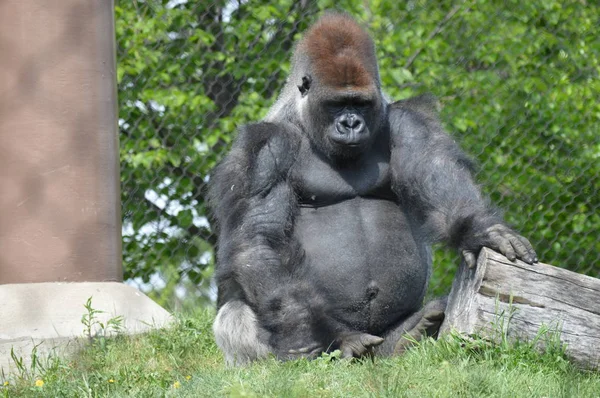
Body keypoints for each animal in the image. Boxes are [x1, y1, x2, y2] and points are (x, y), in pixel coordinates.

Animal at [207, 11, 540, 366]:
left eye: (361, 104)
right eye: (337, 104)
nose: (351, 124)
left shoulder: (407, 123)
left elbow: (439, 179)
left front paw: (482, 230)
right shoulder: (266, 150)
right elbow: (260, 241)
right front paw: (327, 337)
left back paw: (410, 333)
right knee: (234, 314)